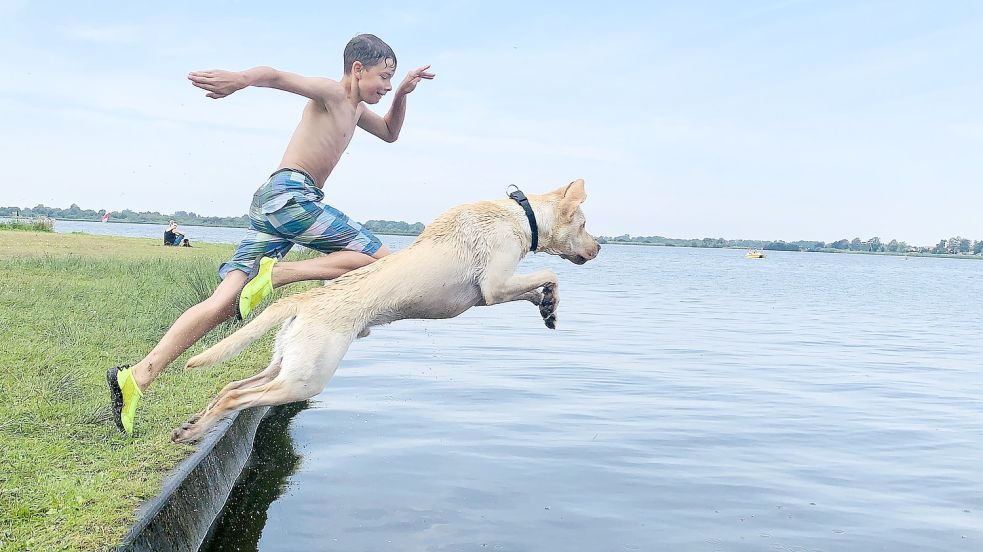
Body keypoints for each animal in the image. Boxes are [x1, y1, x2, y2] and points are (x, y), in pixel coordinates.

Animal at [171, 180, 600, 444]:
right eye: (584, 224)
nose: (599, 249)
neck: (521, 216)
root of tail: (304, 300)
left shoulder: (486, 296)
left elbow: (535, 289)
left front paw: (547, 307)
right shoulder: (492, 287)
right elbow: (547, 273)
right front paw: (550, 298)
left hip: (287, 362)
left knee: (231, 387)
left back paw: (191, 427)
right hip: (305, 380)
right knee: (236, 398)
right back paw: (193, 430)